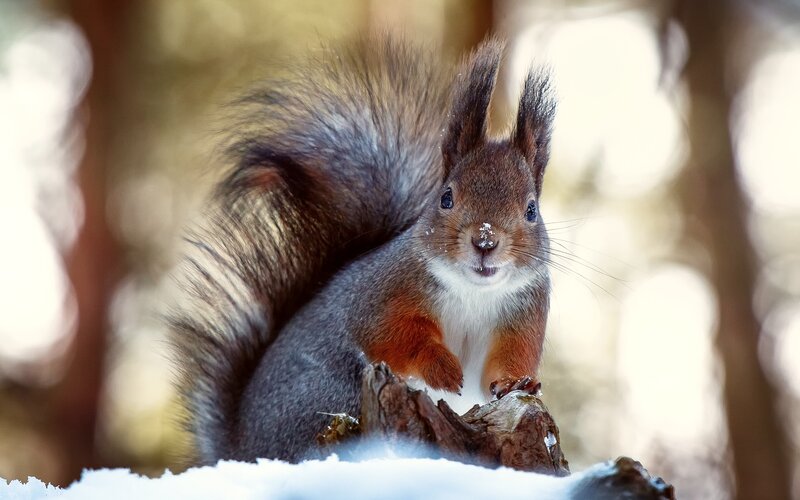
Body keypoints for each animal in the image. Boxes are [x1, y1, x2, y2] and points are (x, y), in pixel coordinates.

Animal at [170, 35, 555, 465]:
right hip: (330, 398)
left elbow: (502, 364)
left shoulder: (523, 317)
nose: (485, 241)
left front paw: (518, 383)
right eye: (447, 197)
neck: (474, 292)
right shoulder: (382, 294)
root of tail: (243, 450)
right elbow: (391, 336)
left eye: (531, 210)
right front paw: (440, 368)